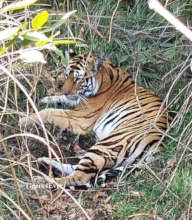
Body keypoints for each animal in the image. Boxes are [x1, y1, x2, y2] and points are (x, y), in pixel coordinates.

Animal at [19, 53, 170, 189]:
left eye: (78, 79)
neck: (105, 76)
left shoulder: (80, 118)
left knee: (80, 177)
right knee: (76, 169)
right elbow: (60, 100)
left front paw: (24, 119)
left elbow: (49, 112)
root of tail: (158, 146)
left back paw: (40, 181)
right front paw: (46, 99)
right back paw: (46, 162)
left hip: (106, 146)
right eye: (67, 75)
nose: (66, 91)